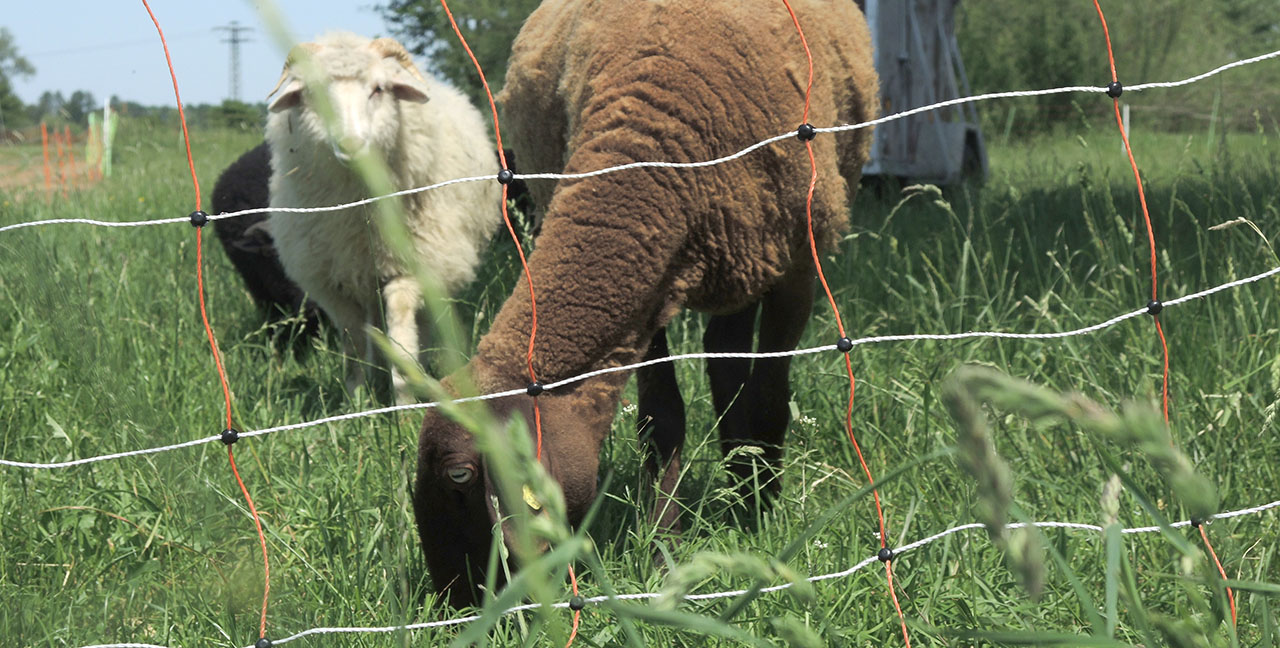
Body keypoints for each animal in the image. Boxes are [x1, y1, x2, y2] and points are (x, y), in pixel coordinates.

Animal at [263, 32, 499, 404]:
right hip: (365, 275)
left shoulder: (411, 269)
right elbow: (354, 347)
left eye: (378, 89)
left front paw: (404, 406)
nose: (350, 144)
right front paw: (357, 404)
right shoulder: (335, 284)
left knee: (423, 324)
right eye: (314, 93)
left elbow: (401, 344)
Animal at [414, 0, 875, 604]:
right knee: (724, 354)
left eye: (461, 479)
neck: (652, 137)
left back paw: (747, 489)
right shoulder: (651, 293)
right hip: (735, 252)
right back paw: (735, 478)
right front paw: (665, 547)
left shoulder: (800, 263)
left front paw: (764, 511)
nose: (456, 606)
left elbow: (774, 395)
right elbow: (663, 417)